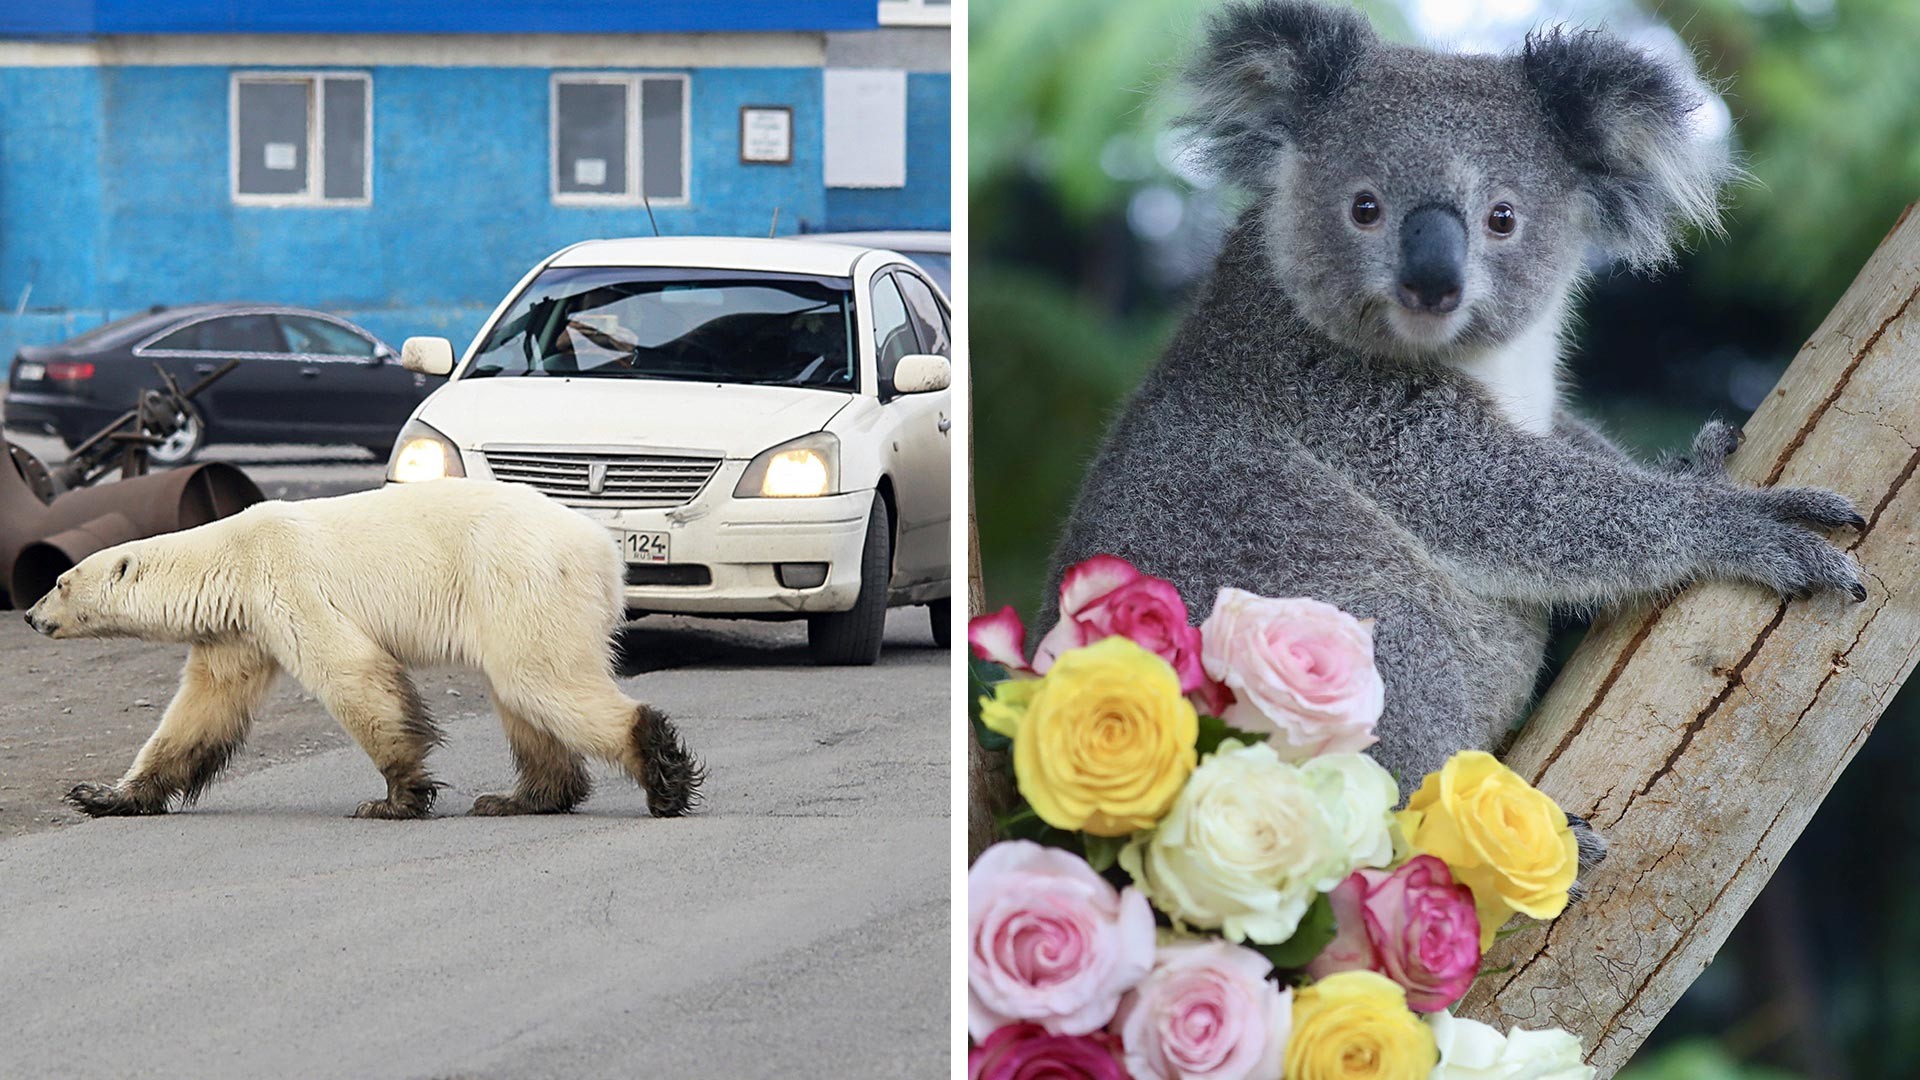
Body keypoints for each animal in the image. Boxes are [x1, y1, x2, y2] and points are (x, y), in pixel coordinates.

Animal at [18, 478, 710, 814]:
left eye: (59, 581)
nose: (27, 614)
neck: (229, 557)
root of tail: (603, 551)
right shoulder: (238, 629)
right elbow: (201, 709)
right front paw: (103, 796)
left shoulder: (285, 581)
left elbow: (352, 672)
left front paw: (394, 799)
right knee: (522, 696)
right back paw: (519, 799)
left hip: (519, 578)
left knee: (539, 679)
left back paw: (664, 778)